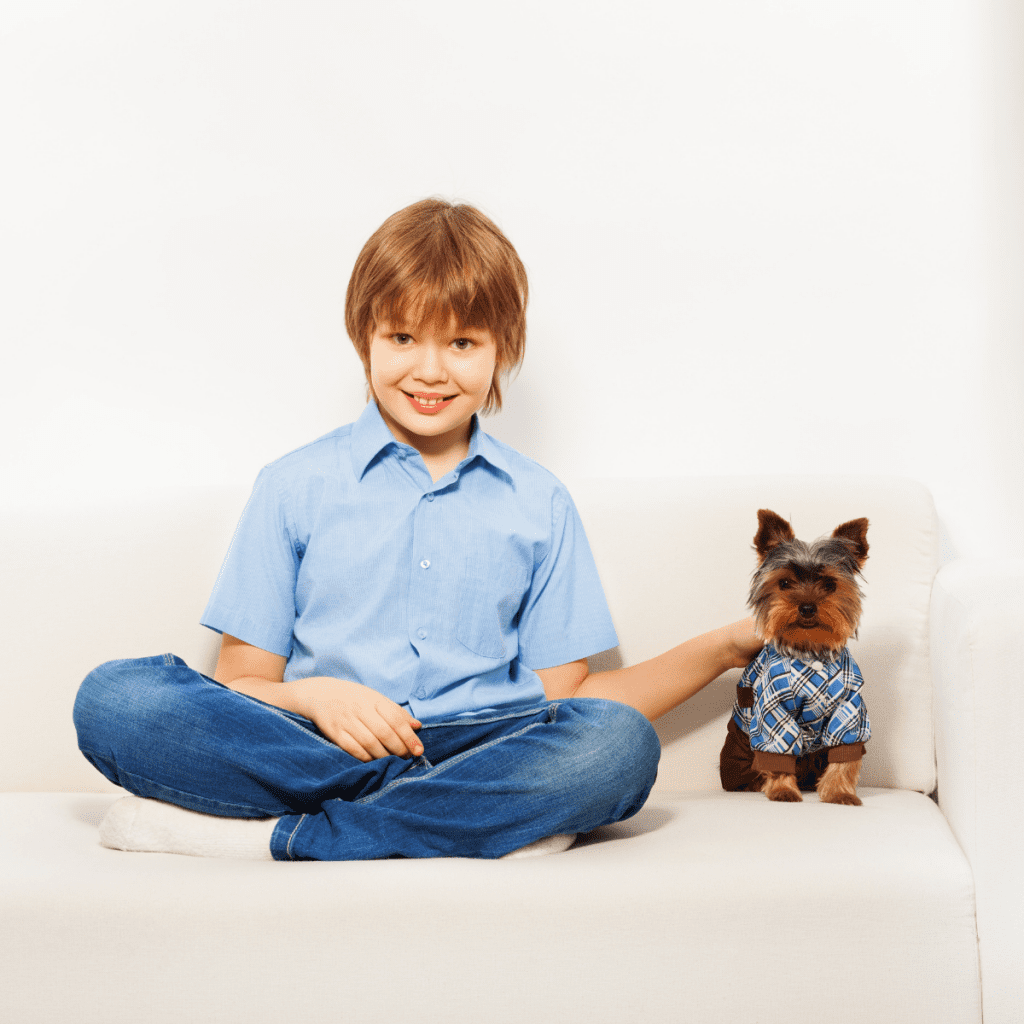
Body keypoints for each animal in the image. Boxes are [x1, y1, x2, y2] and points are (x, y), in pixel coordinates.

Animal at [720, 507, 872, 802]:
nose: (807, 607)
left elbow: (845, 753)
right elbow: (777, 749)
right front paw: (782, 790)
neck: (810, 650)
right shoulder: (772, 704)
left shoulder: (849, 705)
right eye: (785, 583)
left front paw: (839, 792)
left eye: (830, 584)